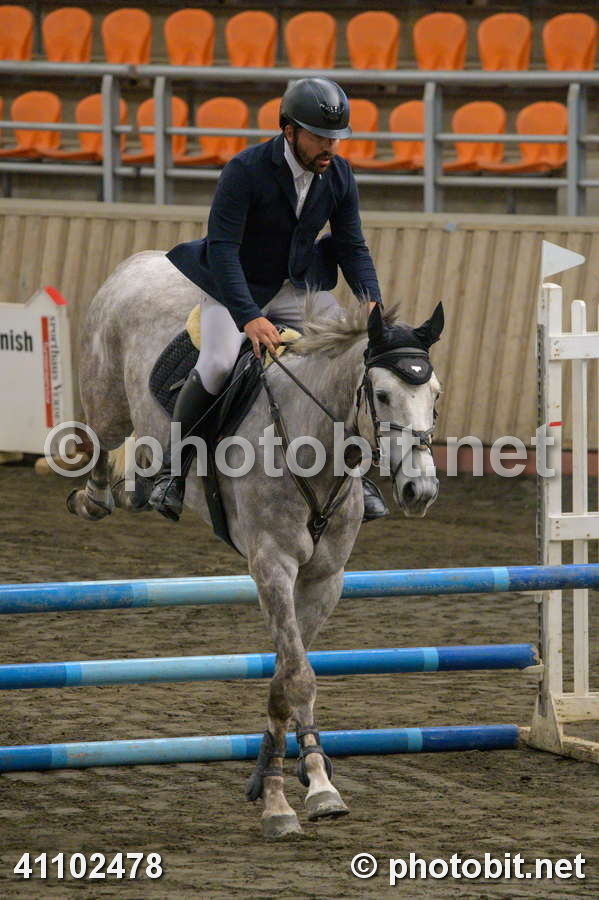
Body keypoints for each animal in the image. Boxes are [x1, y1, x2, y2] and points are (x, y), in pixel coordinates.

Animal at [68, 250, 443, 839]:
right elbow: (298, 677)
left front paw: (305, 782)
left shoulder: (323, 579)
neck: (313, 442)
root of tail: (143, 260)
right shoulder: (272, 567)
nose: (419, 491)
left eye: (435, 395)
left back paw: (143, 489)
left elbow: (285, 679)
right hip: (106, 400)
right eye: (383, 395)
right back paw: (99, 497)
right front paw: (287, 800)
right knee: (100, 443)